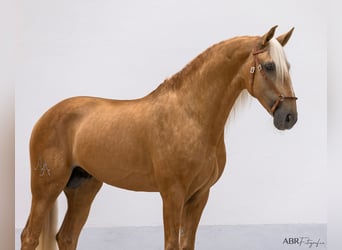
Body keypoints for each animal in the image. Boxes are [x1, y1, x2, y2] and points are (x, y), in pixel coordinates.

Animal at [20, 25, 296, 250]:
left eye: (288, 67)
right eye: (270, 66)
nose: (289, 116)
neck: (191, 116)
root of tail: (47, 115)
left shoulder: (200, 195)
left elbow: (187, 243)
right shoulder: (172, 194)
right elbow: (172, 244)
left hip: (83, 187)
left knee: (67, 236)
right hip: (46, 187)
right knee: (30, 236)